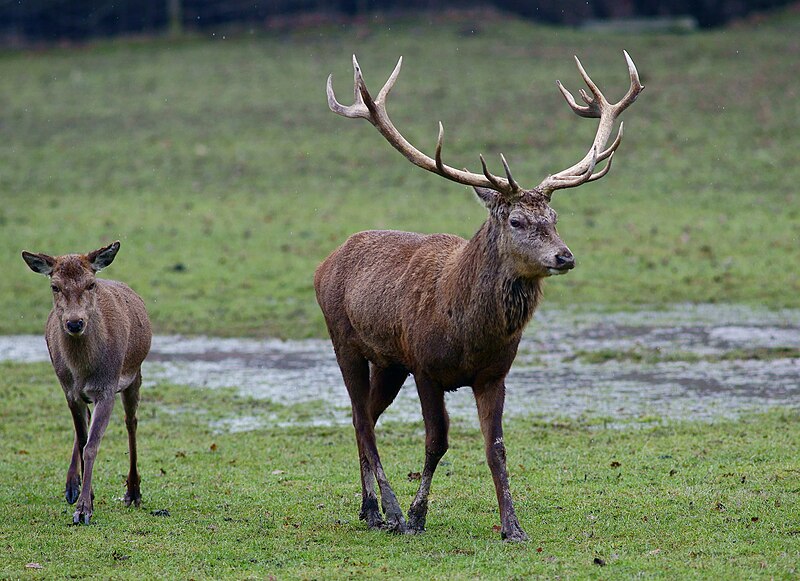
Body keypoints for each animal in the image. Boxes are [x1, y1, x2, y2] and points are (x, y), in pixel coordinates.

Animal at [22, 240, 151, 524]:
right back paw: (72, 486)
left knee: (131, 423)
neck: (83, 370)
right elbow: (83, 442)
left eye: (91, 284)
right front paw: (85, 497)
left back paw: (133, 492)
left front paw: (83, 510)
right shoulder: (69, 391)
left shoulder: (107, 388)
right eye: (55, 286)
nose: (74, 322)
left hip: (134, 374)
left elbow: (92, 445)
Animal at [318, 51, 644, 540]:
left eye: (554, 217)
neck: (468, 333)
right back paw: (388, 510)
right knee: (361, 418)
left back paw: (367, 508)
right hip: (345, 341)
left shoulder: (494, 374)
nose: (564, 256)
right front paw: (416, 515)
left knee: (365, 418)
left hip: (390, 362)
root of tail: (323, 263)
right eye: (516, 221)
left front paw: (513, 526)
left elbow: (497, 447)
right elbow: (437, 442)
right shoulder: (426, 367)